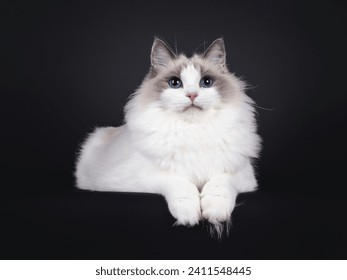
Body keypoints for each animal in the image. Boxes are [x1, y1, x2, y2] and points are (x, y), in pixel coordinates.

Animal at [75, 37, 260, 234]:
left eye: (206, 82)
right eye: (175, 83)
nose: (192, 94)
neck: (193, 131)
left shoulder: (240, 175)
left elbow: (219, 184)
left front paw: (215, 213)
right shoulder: (146, 176)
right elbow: (181, 184)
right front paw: (189, 216)